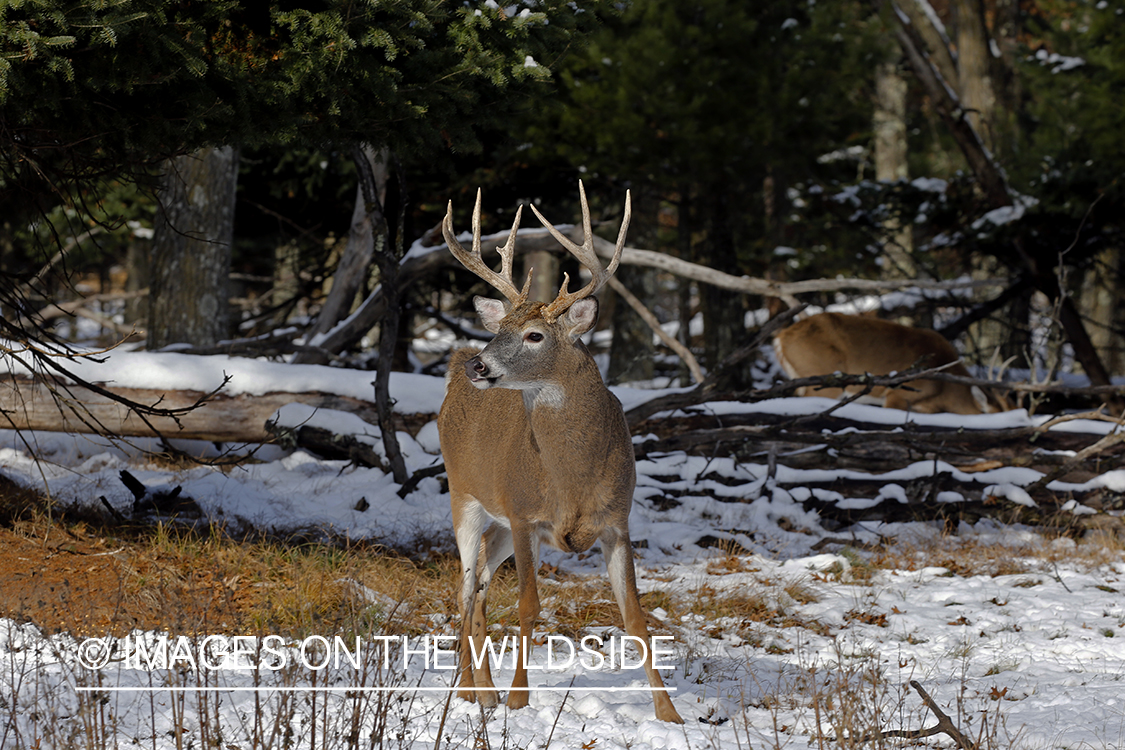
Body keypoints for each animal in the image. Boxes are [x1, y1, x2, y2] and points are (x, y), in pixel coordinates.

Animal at [436, 179, 684, 719]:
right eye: (498, 331)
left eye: (534, 335)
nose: (479, 366)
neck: (572, 478)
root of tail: (451, 368)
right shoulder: (525, 514)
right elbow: (529, 606)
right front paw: (518, 699)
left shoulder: (617, 521)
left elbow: (636, 619)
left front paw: (671, 715)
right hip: (464, 496)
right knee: (464, 587)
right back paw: (469, 691)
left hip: (498, 523)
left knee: (479, 587)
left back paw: (481, 691)